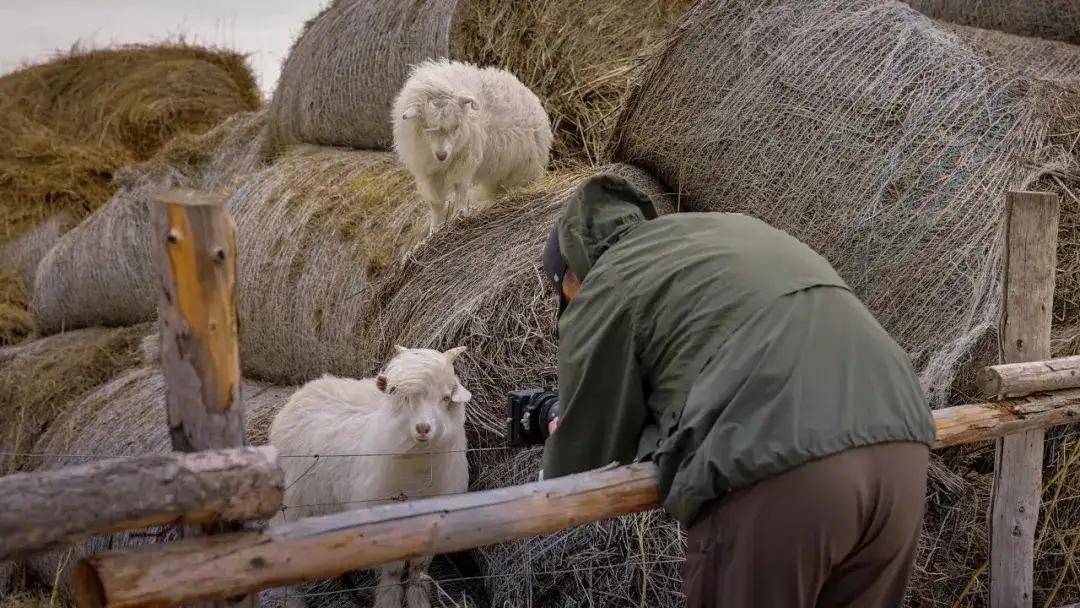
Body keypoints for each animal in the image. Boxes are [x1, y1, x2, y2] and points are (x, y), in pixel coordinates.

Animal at [267, 347, 470, 608]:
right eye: (397, 394)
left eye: (445, 397)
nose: (423, 428)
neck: (421, 473)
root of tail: (309, 387)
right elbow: (393, 572)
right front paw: (388, 601)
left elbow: (419, 569)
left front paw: (418, 601)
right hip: (293, 504)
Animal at [393, 58, 552, 235]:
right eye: (427, 127)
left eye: (456, 126)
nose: (442, 155)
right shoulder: (427, 172)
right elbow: (435, 203)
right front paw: (435, 230)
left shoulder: (464, 160)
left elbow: (460, 188)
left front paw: (461, 215)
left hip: (523, 167)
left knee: (516, 185)